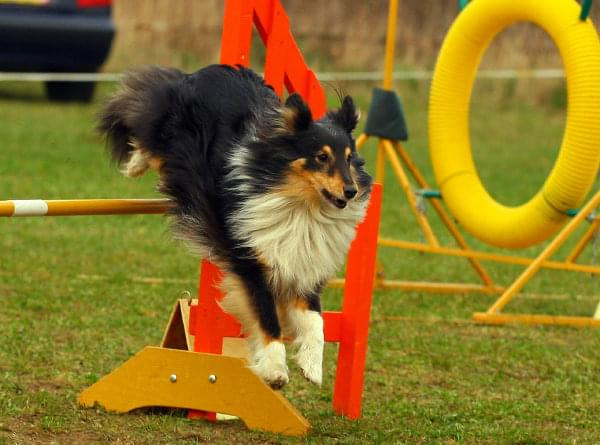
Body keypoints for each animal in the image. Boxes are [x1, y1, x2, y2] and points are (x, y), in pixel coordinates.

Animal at [98, 64, 370, 386]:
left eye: (349, 158)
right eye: (322, 157)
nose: (351, 191)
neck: (300, 207)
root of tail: (214, 69)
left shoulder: (300, 266)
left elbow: (317, 321)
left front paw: (312, 366)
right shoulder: (251, 262)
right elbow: (268, 318)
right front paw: (275, 370)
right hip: (175, 138)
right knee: (147, 129)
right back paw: (135, 165)